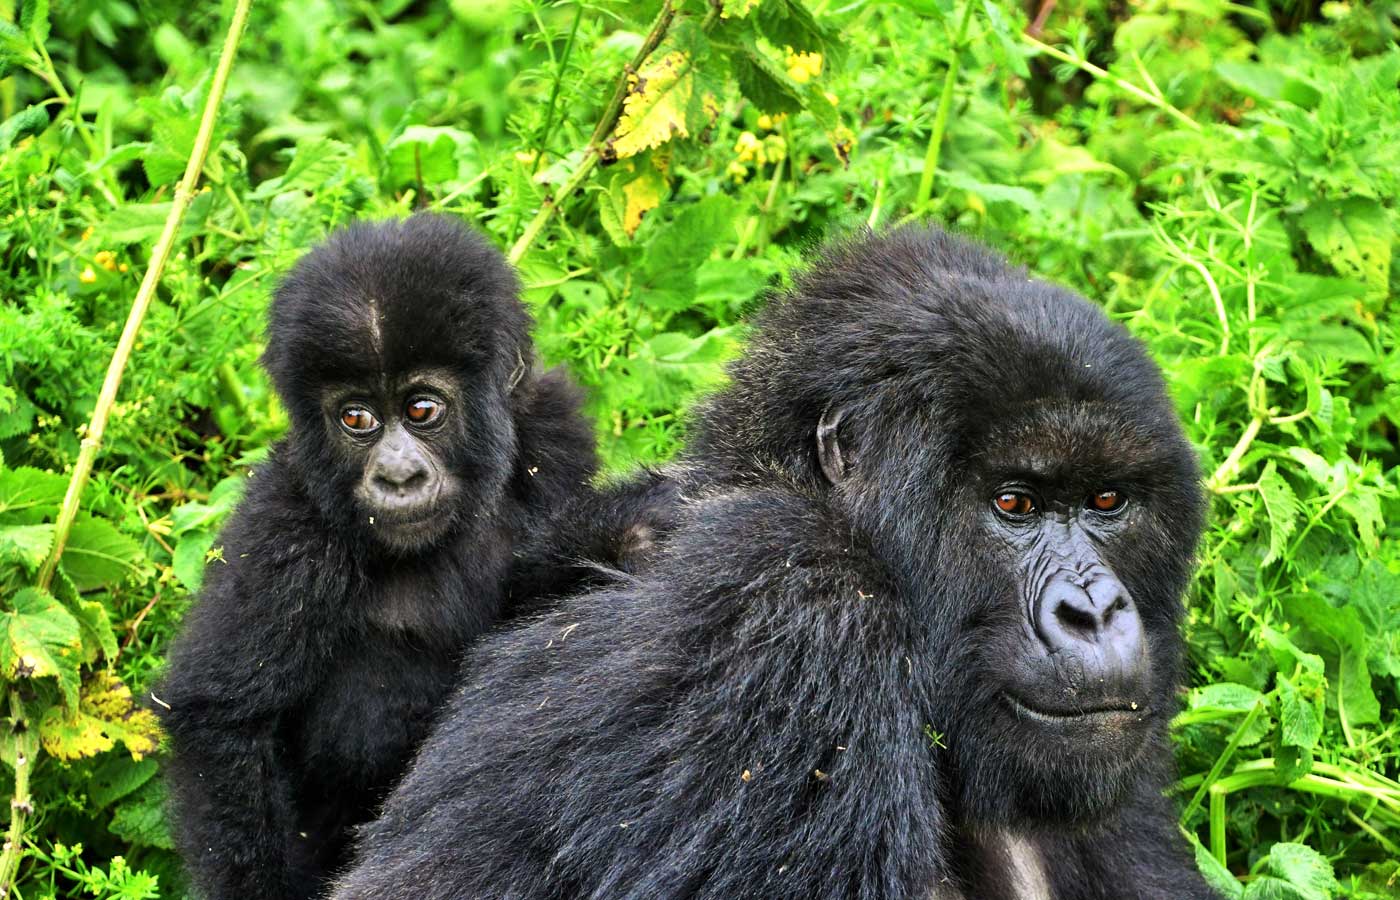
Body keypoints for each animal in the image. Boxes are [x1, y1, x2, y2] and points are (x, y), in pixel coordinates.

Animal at [161, 216, 599, 900]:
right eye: (356, 418)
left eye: (422, 409)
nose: (397, 476)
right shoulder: (287, 523)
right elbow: (220, 720)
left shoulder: (554, 428)